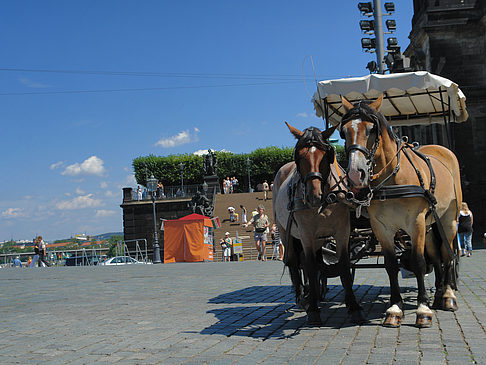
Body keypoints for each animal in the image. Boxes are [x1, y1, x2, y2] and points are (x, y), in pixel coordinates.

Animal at [274, 122, 364, 324]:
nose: (313, 196)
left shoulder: (342, 231)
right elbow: (308, 265)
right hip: (285, 232)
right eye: (299, 156)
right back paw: (302, 297)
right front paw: (314, 310)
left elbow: (343, 265)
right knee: (294, 262)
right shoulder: (306, 234)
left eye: (326, 155)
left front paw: (353, 306)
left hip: (318, 239)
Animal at [338, 94, 460, 328]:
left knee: (448, 254)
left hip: (449, 220)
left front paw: (423, 309)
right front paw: (395, 308)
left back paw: (448, 295)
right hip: (430, 226)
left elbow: (419, 262)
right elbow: (391, 265)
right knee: (437, 256)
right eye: (344, 132)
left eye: (371, 129)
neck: (393, 178)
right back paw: (439, 294)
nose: (355, 174)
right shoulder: (382, 228)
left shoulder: (416, 223)